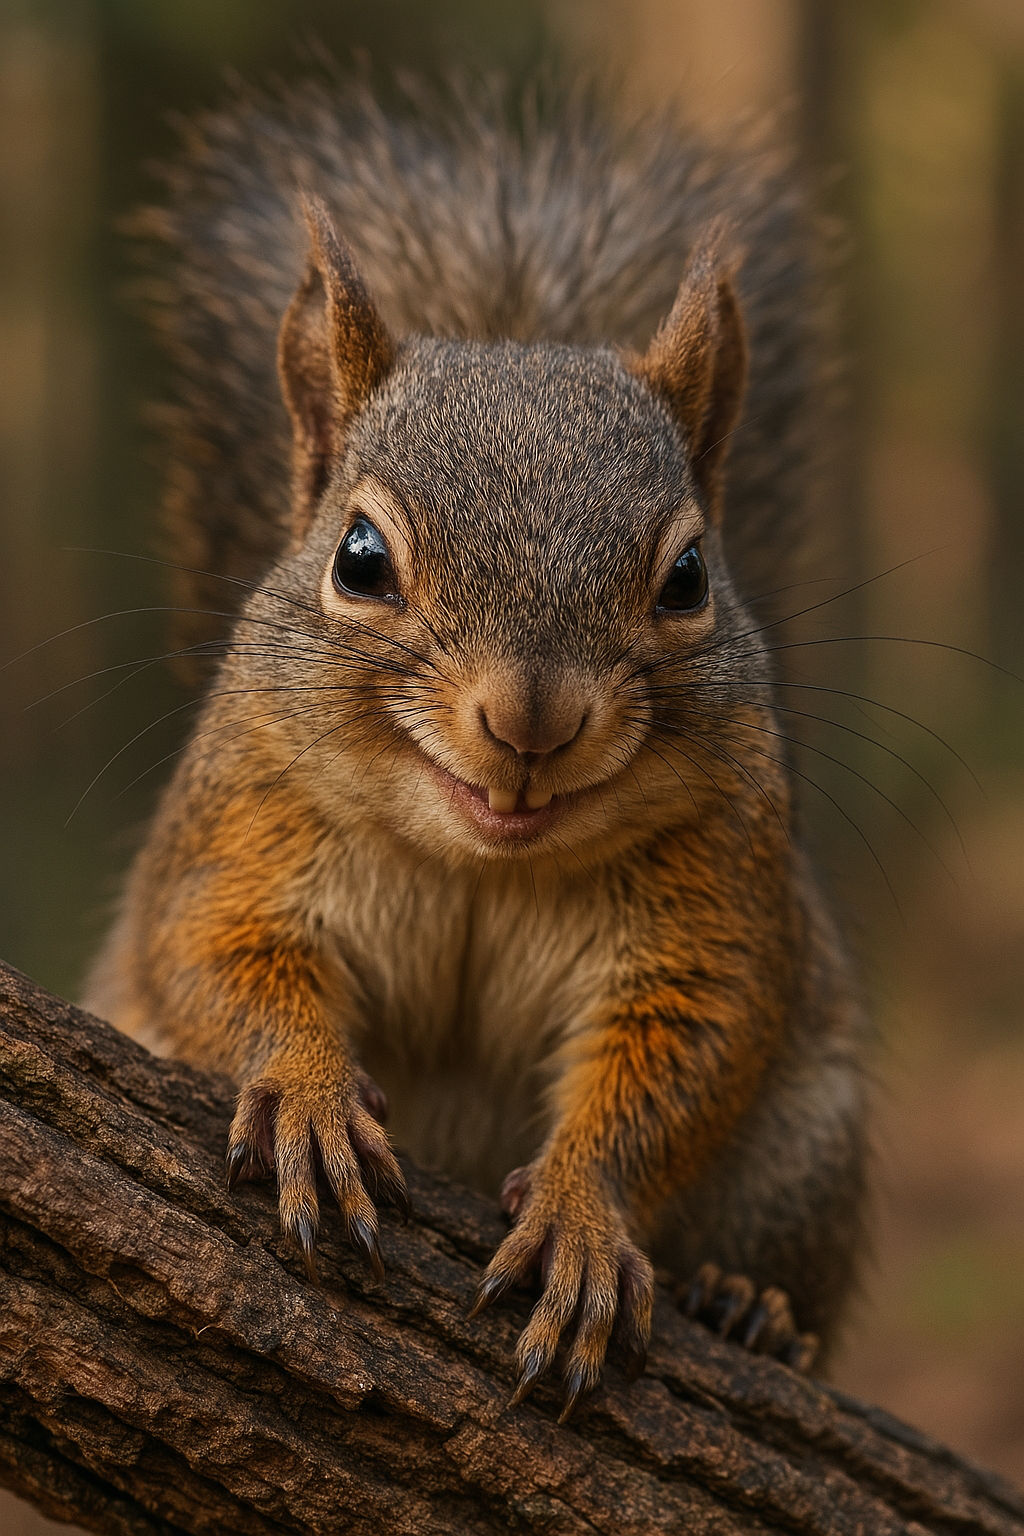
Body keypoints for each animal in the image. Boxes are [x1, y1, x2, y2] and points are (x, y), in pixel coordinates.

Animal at [84, 73, 869, 1418]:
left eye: (688, 576)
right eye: (358, 558)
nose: (529, 722)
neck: (476, 860)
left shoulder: (711, 898)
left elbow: (676, 1064)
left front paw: (581, 1216)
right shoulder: (239, 832)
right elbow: (220, 961)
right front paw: (306, 1093)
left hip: (812, 1146)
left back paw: (751, 1309)